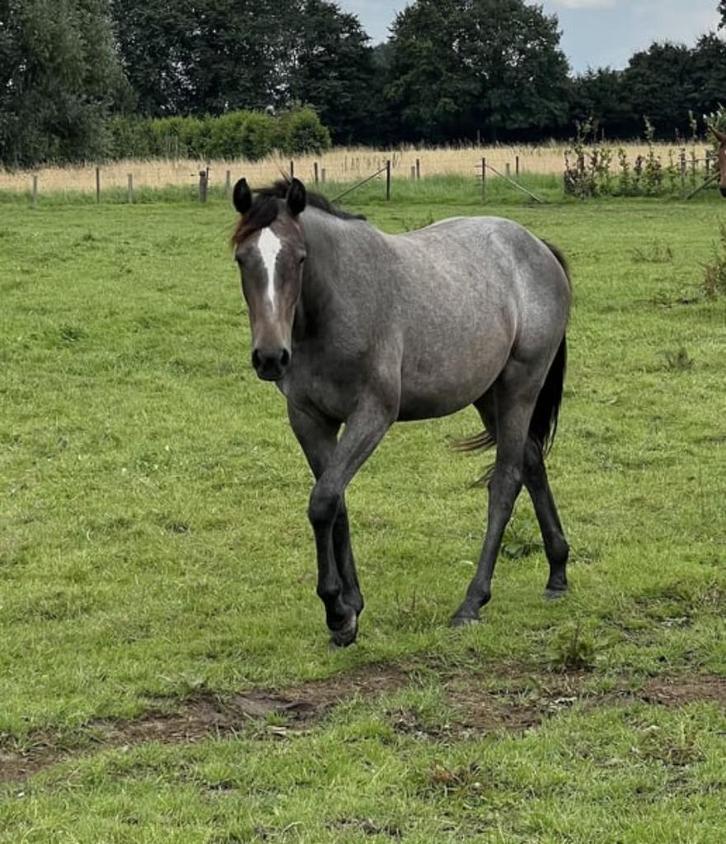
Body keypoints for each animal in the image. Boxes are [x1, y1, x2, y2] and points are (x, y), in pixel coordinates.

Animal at [231, 177, 571, 647]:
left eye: (299, 259)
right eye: (242, 258)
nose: (269, 357)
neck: (335, 306)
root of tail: (538, 247)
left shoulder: (372, 415)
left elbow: (322, 501)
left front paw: (336, 610)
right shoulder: (309, 419)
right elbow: (335, 502)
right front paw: (351, 608)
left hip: (521, 386)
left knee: (506, 482)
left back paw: (472, 602)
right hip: (490, 395)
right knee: (533, 463)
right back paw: (558, 571)